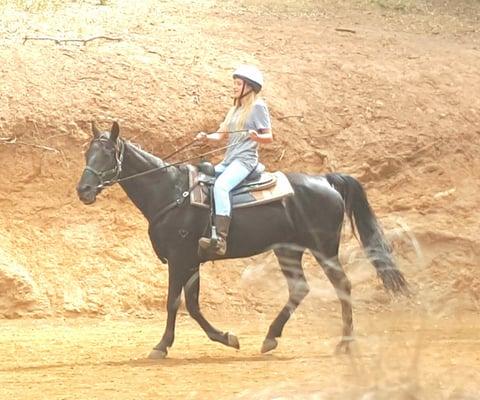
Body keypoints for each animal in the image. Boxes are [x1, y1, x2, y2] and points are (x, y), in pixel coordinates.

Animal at [77, 122, 406, 360]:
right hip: (288, 251)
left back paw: (344, 344)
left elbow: (175, 302)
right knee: (300, 288)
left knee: (342, 285)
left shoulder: (181, 258)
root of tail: (325, 180)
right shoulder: (191, 261)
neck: (171, 191)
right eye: (87, 154)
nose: (83, 190)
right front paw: (225, 338)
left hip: (323, 248)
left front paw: (162, 346)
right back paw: (271, 338)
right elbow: (192, 305)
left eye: (107, 155)